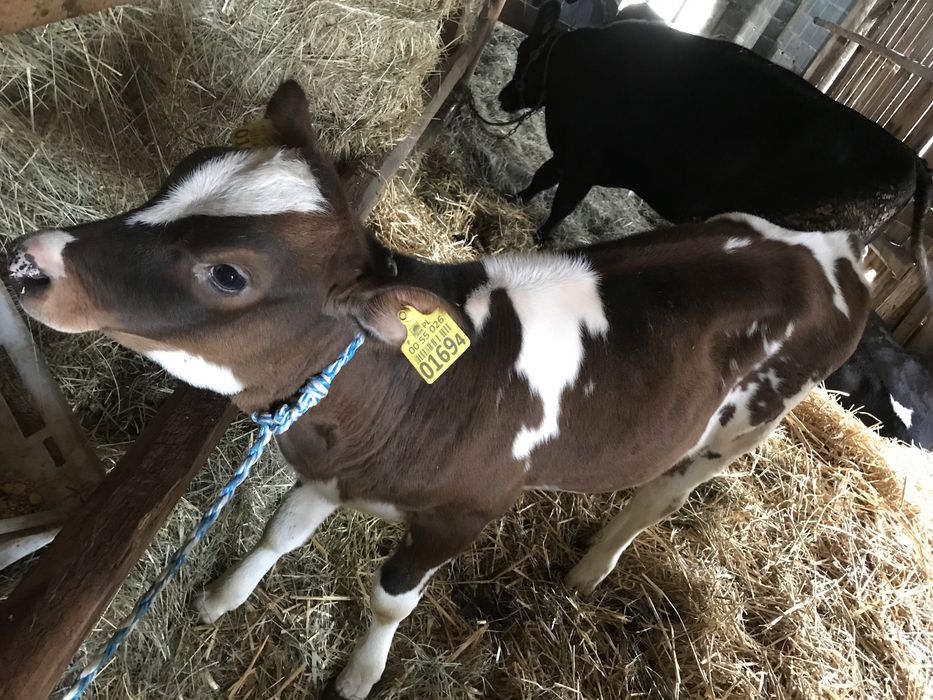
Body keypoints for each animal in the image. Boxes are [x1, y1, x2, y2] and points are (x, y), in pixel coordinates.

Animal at [5, 83, 868, 700]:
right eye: (178, 174)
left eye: (227, 274)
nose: (27, 260)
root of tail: (829, 245)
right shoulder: (335, 468)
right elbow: (279, 534)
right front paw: (221, 597)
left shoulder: (464, 513)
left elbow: (391, 601)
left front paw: (359, 677)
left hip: (746, 424)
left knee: (664, 491)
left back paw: (591, 570)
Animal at [498, 0, 928, 268]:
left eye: (524, 51)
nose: (504, 96)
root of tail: (911, 156)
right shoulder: (570, 152)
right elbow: (541, 177)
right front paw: (513, 199)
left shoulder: (585, 158)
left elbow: (562, 203)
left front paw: (541, 238)